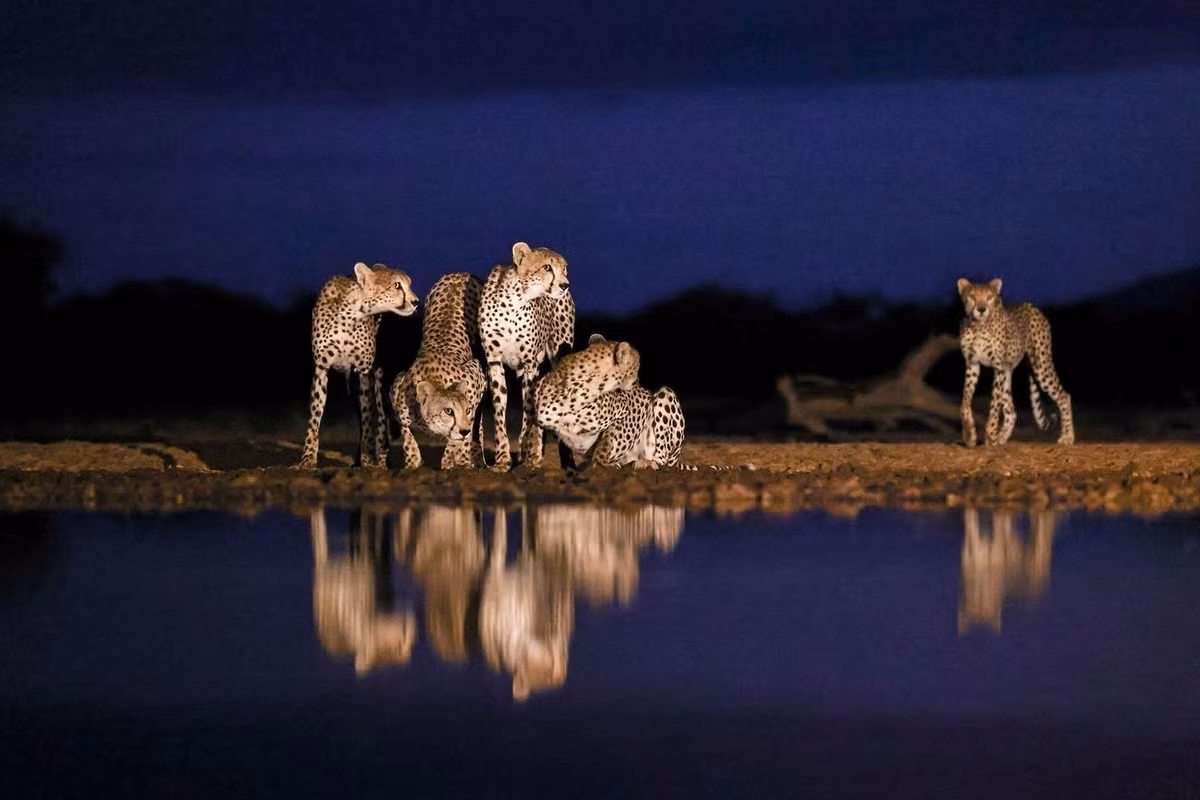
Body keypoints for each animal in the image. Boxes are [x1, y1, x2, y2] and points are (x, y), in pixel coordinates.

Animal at [299, 262, 419, 468]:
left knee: (381, 420)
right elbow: (314, 419)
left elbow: (368, 419)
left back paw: (381, 461)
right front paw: (307, 460)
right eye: (397, 285)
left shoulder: (363, 372)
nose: (416, 302)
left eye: (409, 284)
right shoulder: (321, 369)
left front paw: (368, 460)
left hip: (379, 379)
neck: (351, 313)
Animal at [389, 272, 487, 470]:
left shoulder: (477, 374)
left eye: (466, 410)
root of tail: (460, 273)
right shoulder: (397, 390)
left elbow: (467, 431)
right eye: (448, 411)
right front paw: (412, 461)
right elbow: (406, 433)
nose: (464, 430)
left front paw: (453, 457)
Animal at [478, 242, 575, 472]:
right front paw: (503, 459)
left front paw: (529, 454)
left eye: (564, 269)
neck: (515, 300)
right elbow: (499, 410)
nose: (565, 285)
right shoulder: (494, 362)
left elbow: (530, 411)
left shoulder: (531, 364)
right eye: (547, 267)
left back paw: (560, 460)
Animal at [534, 334, 686, 470]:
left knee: (663, 459)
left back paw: (647, 463)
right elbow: (535, 439)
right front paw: (533, 464)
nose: (637, 382)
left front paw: (598, 466)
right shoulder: (540, 417)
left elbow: (606, 443)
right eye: (637, 365)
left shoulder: (629, 413)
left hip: (666, 394)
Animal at [957, 278, 1075, 447]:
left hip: (1040, 365)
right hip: (1008, 373)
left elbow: (994, 406)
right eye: (972, 296)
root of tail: (1031, 305)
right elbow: (965, 402)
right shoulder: (972, 364)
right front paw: (969, 434)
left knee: (1064, 396)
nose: (981, 309)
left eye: (989, 297)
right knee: (1011, 411)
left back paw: (1068, 437)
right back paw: (1001, 438)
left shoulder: (998, 367)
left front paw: (990, 436)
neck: (978, 326)